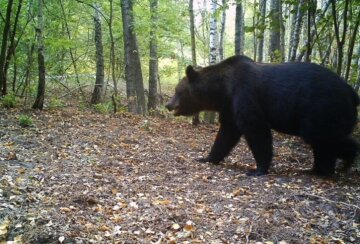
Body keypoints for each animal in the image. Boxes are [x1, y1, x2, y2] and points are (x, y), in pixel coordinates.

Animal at [166, 54, 358, 177]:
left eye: (177, 91)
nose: (168, 104)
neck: (223, 89)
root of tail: (353, 93)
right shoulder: (229, 106)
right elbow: (226, 133)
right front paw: (206, 157)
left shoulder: (245, 94)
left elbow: (255, 129)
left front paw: (257, 169)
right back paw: (323, 167)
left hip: (321, 108)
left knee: (321, 137)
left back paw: (334, 166)